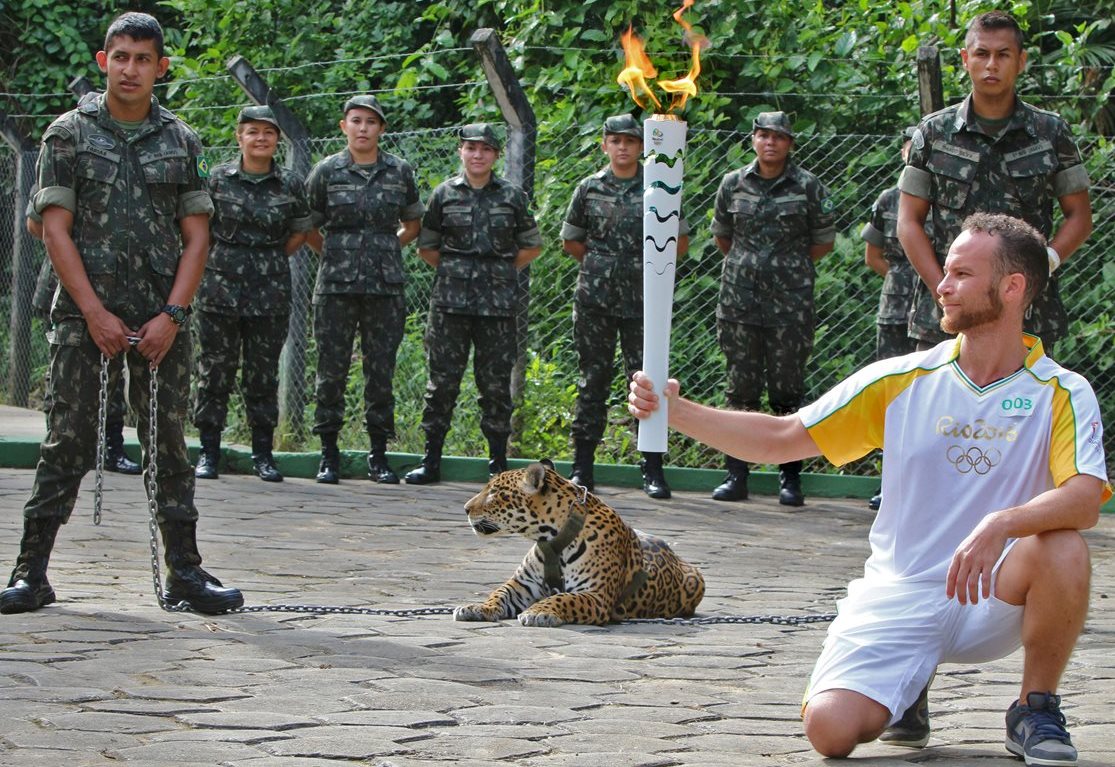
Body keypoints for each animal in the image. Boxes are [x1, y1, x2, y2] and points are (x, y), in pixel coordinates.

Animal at [454, 460, 705, 627]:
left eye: (494, 492)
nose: (465, 508)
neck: (551, 538)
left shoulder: (596, 595)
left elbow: (564, 598)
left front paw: (539, 611)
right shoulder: (522, 584)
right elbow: (498, 593)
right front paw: (478, 607)